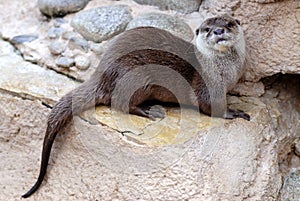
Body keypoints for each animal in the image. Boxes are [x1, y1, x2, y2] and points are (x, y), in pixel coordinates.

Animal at [22, 14, 250, 198]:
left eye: (229, 23)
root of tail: (101, 74)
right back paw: (150, 110)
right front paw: (234, 112)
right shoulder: (208, 86)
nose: (219, 31)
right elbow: (212, 107)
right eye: (207, 29)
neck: (223, 72)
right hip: (136, 78)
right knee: (118, 104)